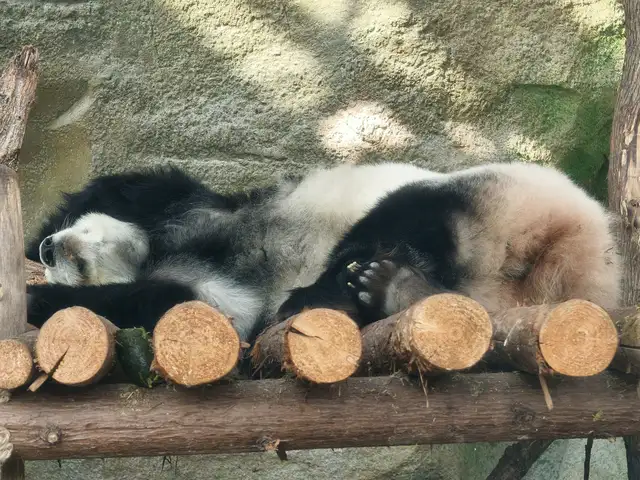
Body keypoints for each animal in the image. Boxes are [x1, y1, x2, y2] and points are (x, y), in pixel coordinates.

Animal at [25, 162, 620, 344]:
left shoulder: (190, 208)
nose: (50, 250)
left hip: (502, 192)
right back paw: (397, 293)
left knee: (399, 215)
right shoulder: (216, 285)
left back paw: (335, 297)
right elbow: (190, 303)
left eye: (81, 237)